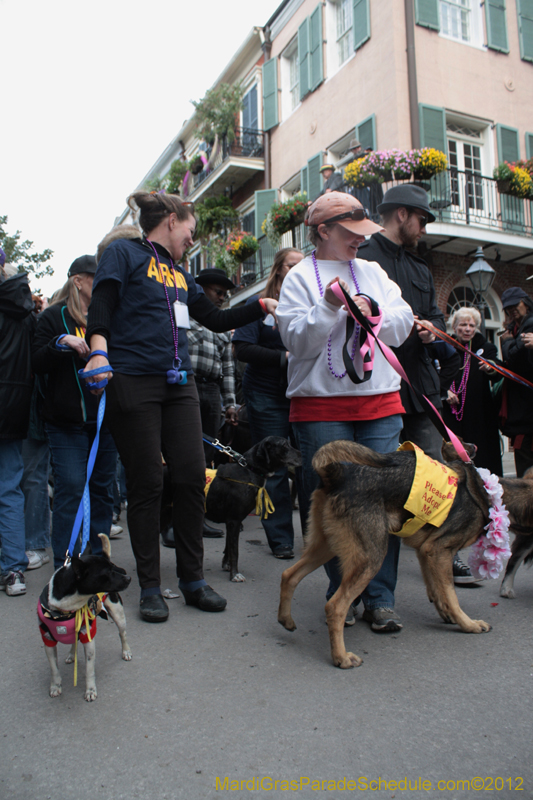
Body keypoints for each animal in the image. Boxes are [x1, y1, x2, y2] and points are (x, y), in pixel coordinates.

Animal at [38, 536, 131, 700]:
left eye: (114, 568)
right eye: (108, 572)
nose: (128, 577)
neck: (66, 608)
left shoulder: (88, 638)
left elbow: (89, 670)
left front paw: (90, 690)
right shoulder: (48, 640)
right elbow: (54, 669)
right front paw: (55, 686)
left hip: (118, 614)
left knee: (122, 634)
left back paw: (126, 651)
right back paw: (71, 654)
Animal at [160, 438, 302, 580]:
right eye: (284, 445)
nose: (302, 455)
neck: (250, 470)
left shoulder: (232, 522)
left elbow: (228, 546)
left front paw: (226, 565)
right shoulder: (234, 520)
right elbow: (235, 550)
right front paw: (235, 574)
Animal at [276, 440, 532, 672]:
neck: (488, 493)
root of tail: (337, 475)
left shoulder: (426, 552)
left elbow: (437, 591)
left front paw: (447, 614)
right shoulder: (439, 550)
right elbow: (451, 594)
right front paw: (467, 624)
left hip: (325, 547)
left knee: (289, 575)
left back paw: (285, 620)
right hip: (370, 558)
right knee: (335, 607)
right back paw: (341, 657)